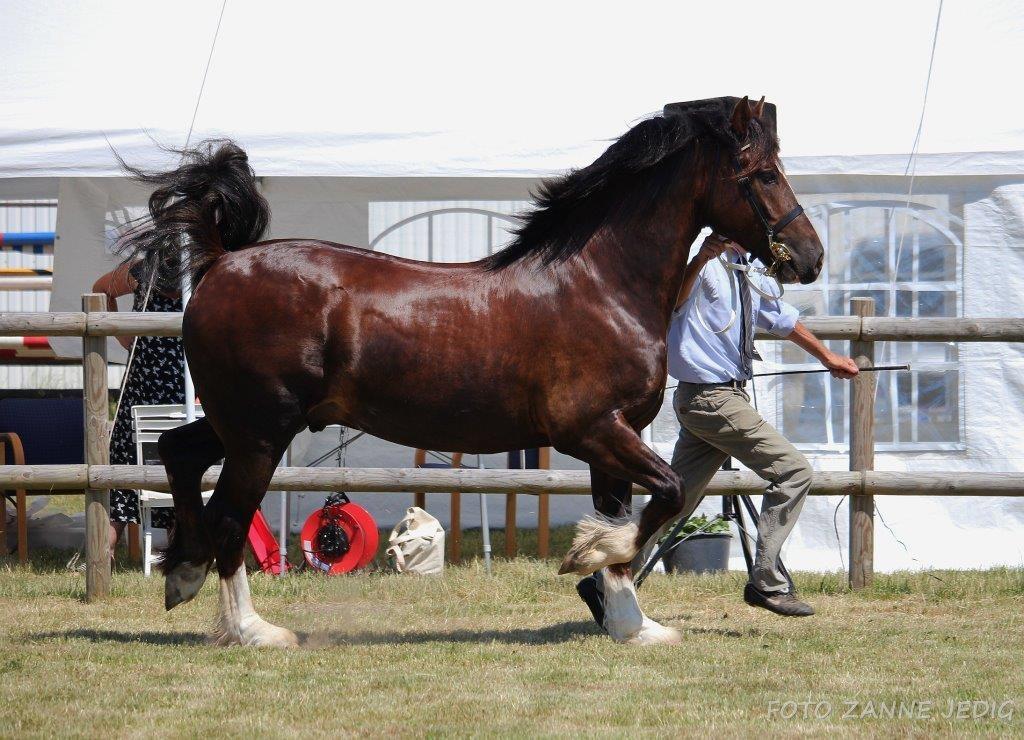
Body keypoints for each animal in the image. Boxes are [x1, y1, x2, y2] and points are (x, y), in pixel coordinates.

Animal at [119, 95, 823, 646]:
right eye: (763, 174)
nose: (810, 258)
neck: (602, 285)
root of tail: (220, 261)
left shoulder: (614, 438)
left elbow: (624, 513)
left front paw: (630, 622)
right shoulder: (592, 429)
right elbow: (668, 497)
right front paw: (588, 561)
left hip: (244, 424)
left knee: (179, 452)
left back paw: (182, 574)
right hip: (261, 433)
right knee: (229, 518)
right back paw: (253, 630)